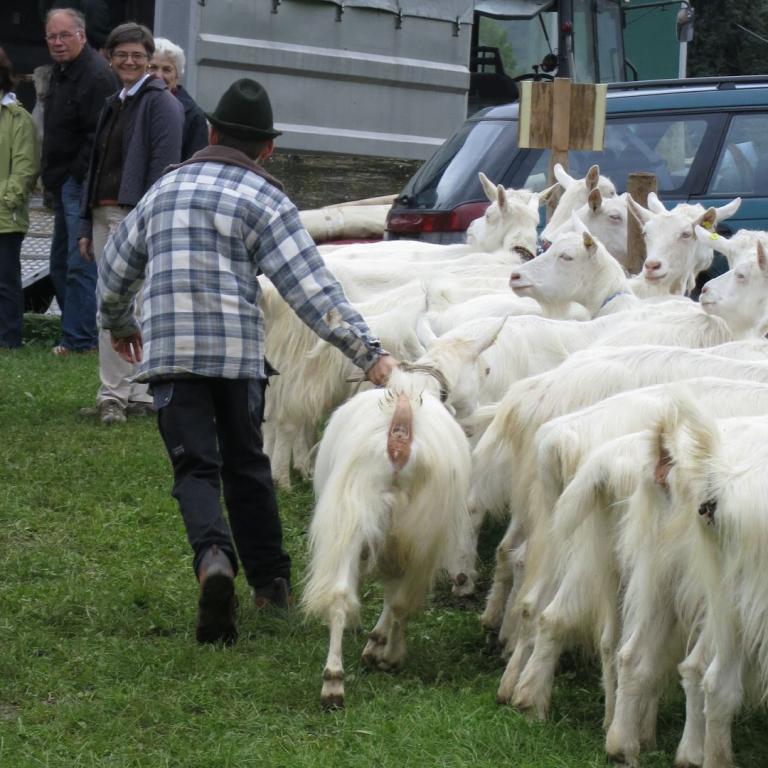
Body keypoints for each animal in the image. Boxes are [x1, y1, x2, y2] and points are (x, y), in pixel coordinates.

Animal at [302, 317, 505, 708]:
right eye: (487, 370)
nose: (477, 417)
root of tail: (401, 429)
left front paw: (369, 640)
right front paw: (377, 644)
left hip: (355, 511)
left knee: (344, 592)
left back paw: (334, 681)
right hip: (414, 525)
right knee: (398, 596)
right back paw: (387, 656)